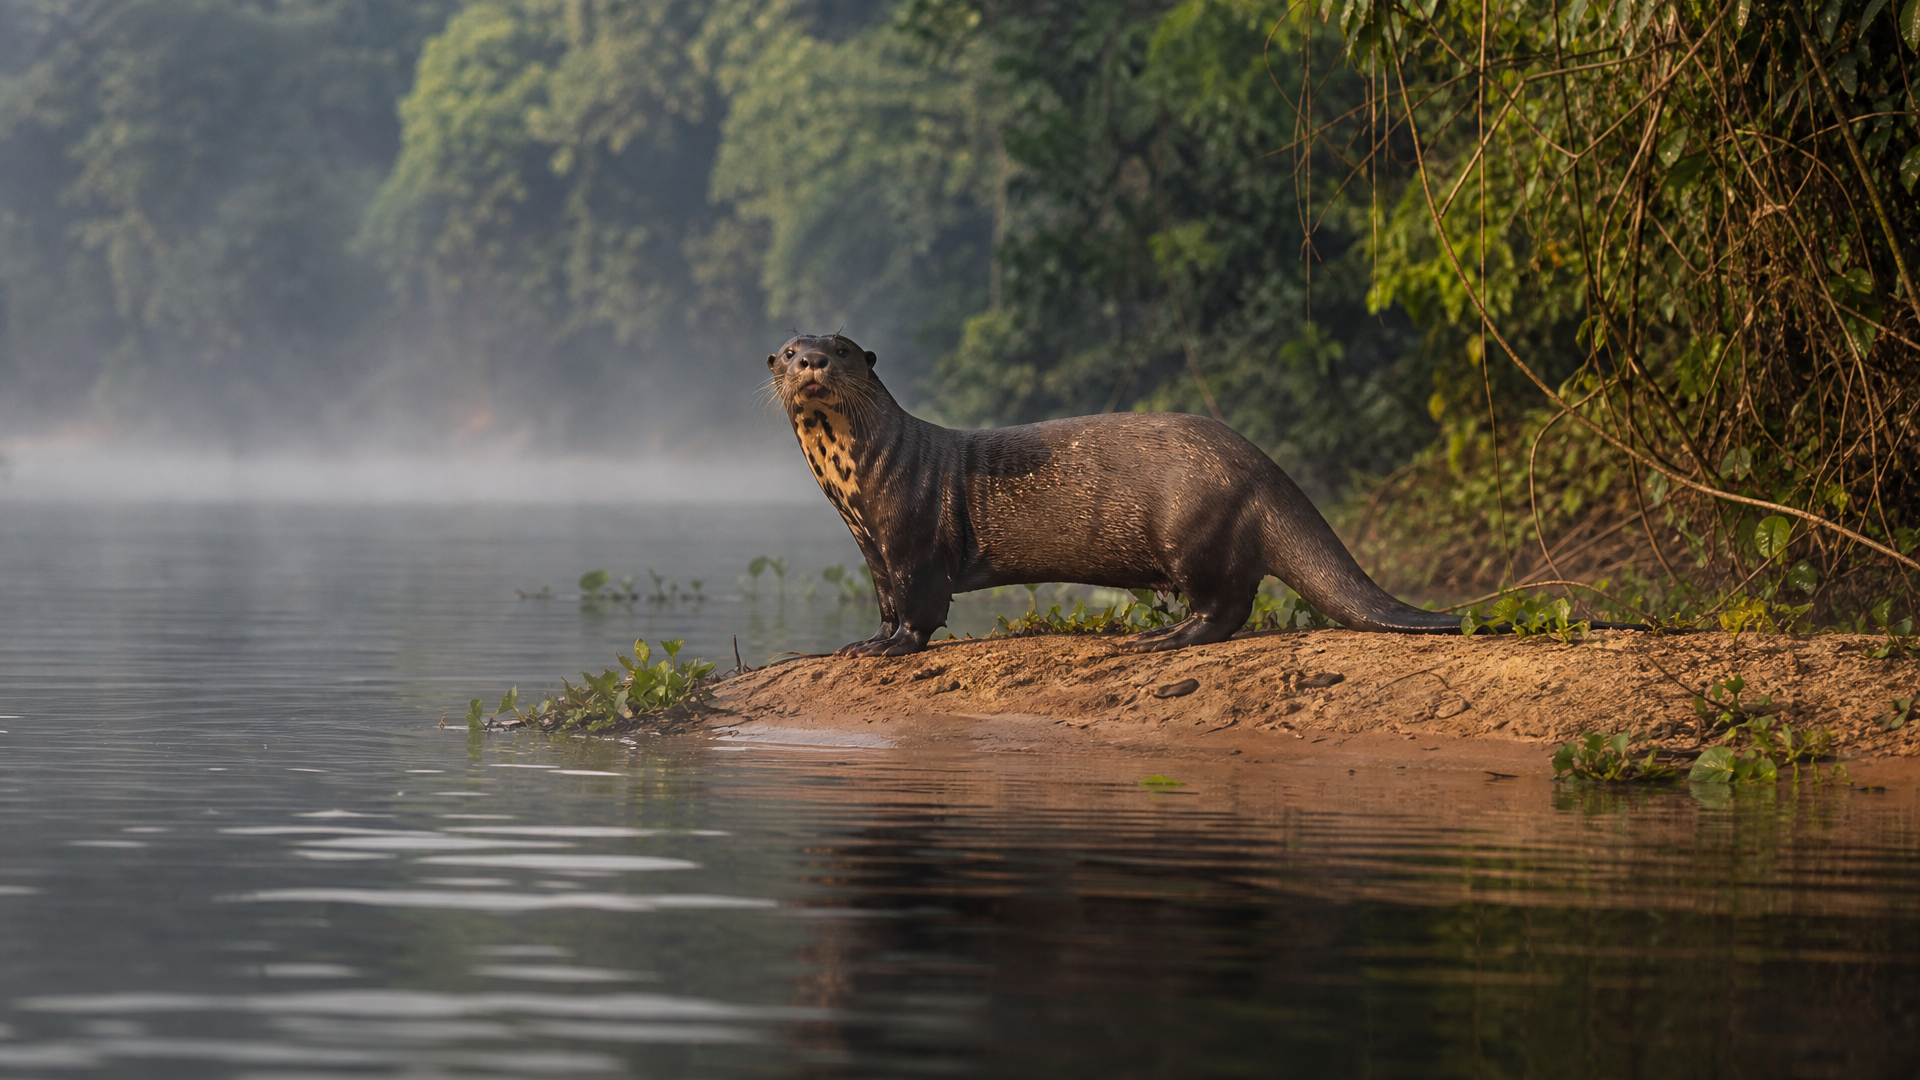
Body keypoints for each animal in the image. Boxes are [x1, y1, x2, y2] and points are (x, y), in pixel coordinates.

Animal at [767, 333, 1594, 656]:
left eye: (842, 350)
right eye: (788, 350)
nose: (810, 362)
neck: (862, 478)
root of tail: (1264, 467)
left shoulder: (913, 539)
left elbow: (922, 611)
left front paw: (892, 648)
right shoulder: (874, 548)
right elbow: (885, 603)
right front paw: (864, 641)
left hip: (1195, 525)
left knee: (1226, 607)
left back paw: (1162, 639)